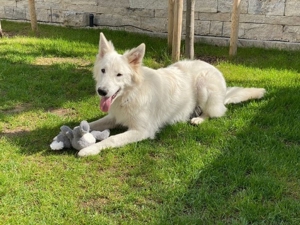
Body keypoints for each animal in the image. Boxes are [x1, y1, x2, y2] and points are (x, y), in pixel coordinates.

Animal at [77, 33, 264, 156]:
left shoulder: (142, 130)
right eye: (103, 71)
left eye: (119, 75)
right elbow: (91, 124)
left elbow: (111, 140)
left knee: (215, 112)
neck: (132, 94)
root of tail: (211, 66)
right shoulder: (114, 117)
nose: (101, 91)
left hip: (204, 86)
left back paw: (199, 118)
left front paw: (89, 149)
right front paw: (77, 131)